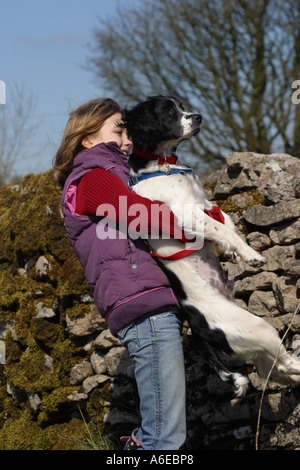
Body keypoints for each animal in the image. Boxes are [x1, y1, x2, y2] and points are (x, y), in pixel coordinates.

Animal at [123, 95, 300, 396]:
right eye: (168, 110)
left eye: (181, 105)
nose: (198, 117)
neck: (161, 165)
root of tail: (196, 330)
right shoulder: (184, 214)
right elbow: (224, 230)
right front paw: (250, 255)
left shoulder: (204, 204)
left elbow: (225, 219)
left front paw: (232, 250)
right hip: (254, 327)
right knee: (281, 364)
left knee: (273, 369)